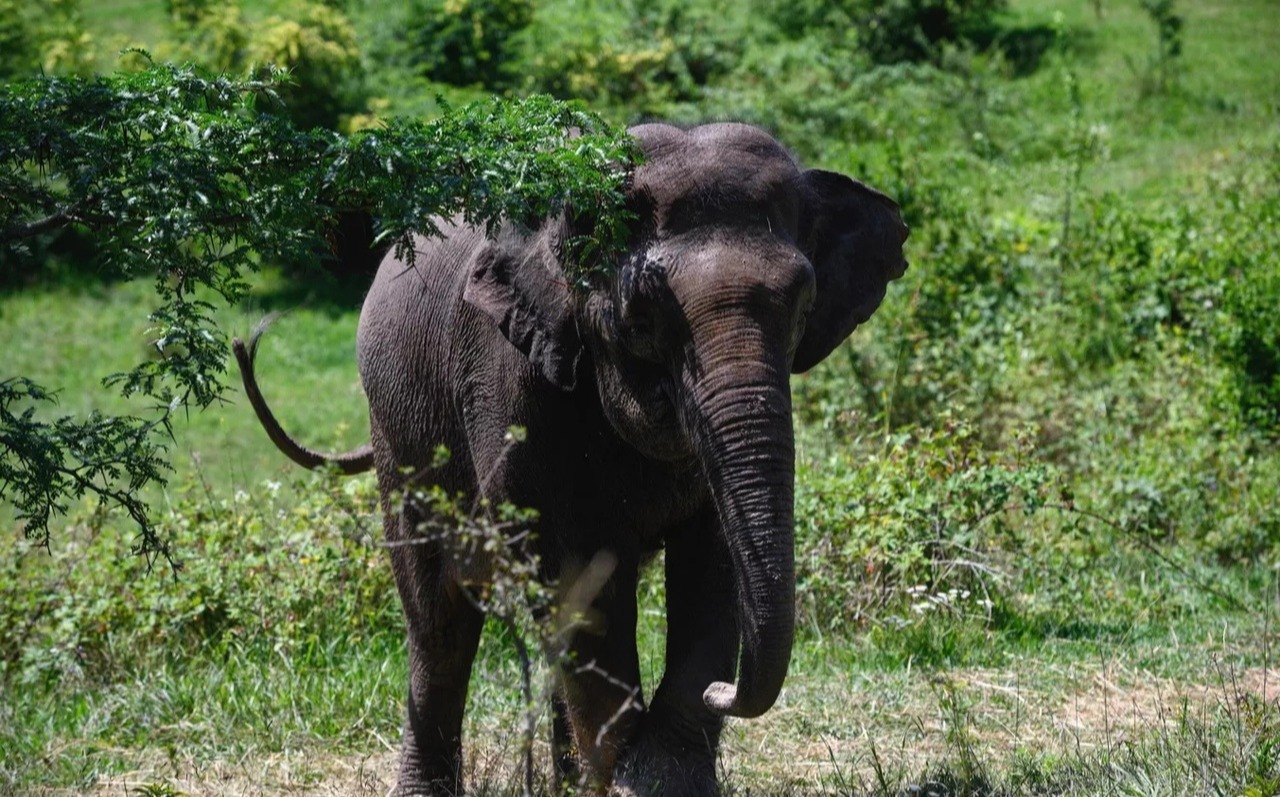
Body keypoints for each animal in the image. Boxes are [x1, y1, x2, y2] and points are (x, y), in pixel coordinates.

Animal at [232, 121, 911, 793]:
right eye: (640, 319)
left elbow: (712, 566)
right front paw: (634, 780)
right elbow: (583, 572)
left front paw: (658, 775)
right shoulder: (515, 378)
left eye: (803, 308)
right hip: (399, 422)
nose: (726, 691)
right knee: (439, 616)